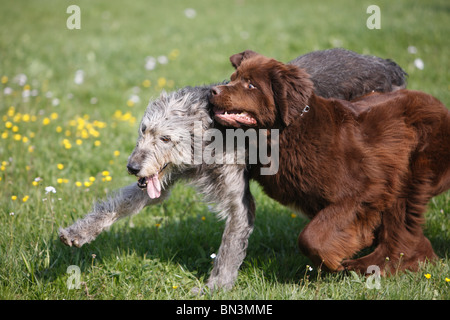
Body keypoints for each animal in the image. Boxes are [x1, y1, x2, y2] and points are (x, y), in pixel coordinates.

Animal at [59, 48, 408, 292]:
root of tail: (387, 63)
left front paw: (215, 287)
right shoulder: (165, 177)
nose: (132, 167)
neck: (208, 133)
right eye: (143, 130)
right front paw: (78, 233)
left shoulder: (239, 199)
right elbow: (122, 203)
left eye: (166, 138)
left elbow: (229, 248)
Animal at [210, 50, 450, 276]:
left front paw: (332, 263)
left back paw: (373, 266)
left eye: (250, 84)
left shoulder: (366, 189)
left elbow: (310, 236)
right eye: (232, 78)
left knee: (401, 231)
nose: (213, 90)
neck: (285, 134)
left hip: (411, 173)